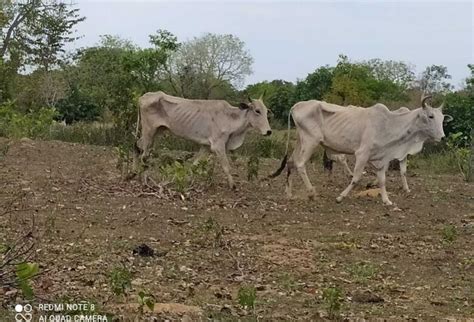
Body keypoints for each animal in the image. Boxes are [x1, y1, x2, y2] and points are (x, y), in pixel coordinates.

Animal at [135, 90, 272, 189]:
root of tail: (143, 97)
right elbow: (227, 167)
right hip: (149, 131)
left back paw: (134, 174)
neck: (230, 118)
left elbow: (194, 165)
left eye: (266, 111)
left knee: (138, 147)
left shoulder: (206, 146)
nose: (269, 131)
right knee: (144, 156)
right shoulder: (218, 146)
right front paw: (233, 186)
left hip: (156, 132)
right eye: (257, 111)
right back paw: (144, 180)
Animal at [270, 97, 448, 205]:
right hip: (310, 141)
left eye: (442, 118)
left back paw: (289, 193)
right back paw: (311, 192)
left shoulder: (381, 158)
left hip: (300, 141)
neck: (389, 124)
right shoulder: (362, 154)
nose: (442, 137)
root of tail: (297, 105)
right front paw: (340, 197)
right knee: (300, 164)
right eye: (430, 116)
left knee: (291, 163)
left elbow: (382, 180)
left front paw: (386, 201)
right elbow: (355, 178)